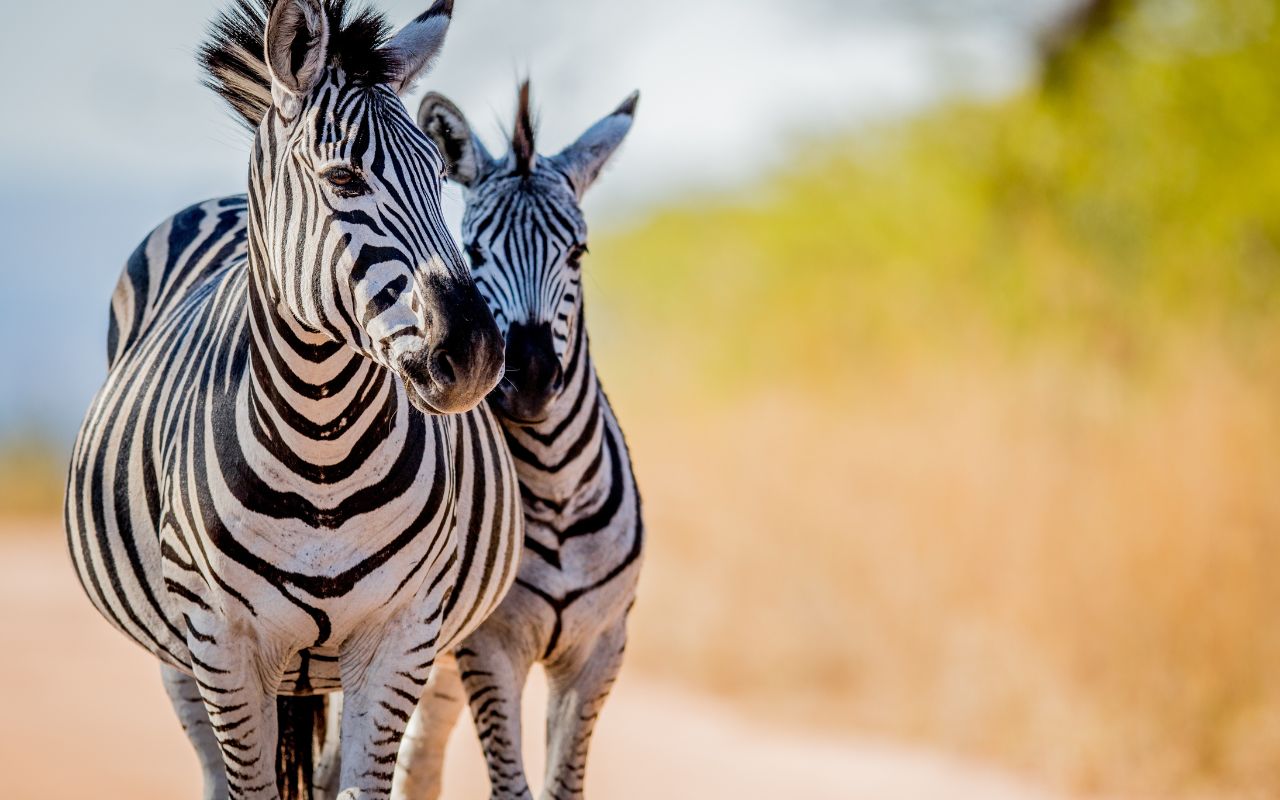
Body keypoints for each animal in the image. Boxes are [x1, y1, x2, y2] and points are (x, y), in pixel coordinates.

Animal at [62, 3, 522, 793]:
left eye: (439, 176)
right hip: (177, 656)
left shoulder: (402, 636)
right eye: (342, 178)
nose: (474, 357)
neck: (321, 448)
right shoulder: (221, 643)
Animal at [389, 82, 650, 798]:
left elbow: (565, 785)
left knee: (415, 762)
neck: (556, 489)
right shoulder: (489, 649)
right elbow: (513, 787)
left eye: (578, 253)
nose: (529, 380)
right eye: (474, 252)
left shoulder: (601, 648)